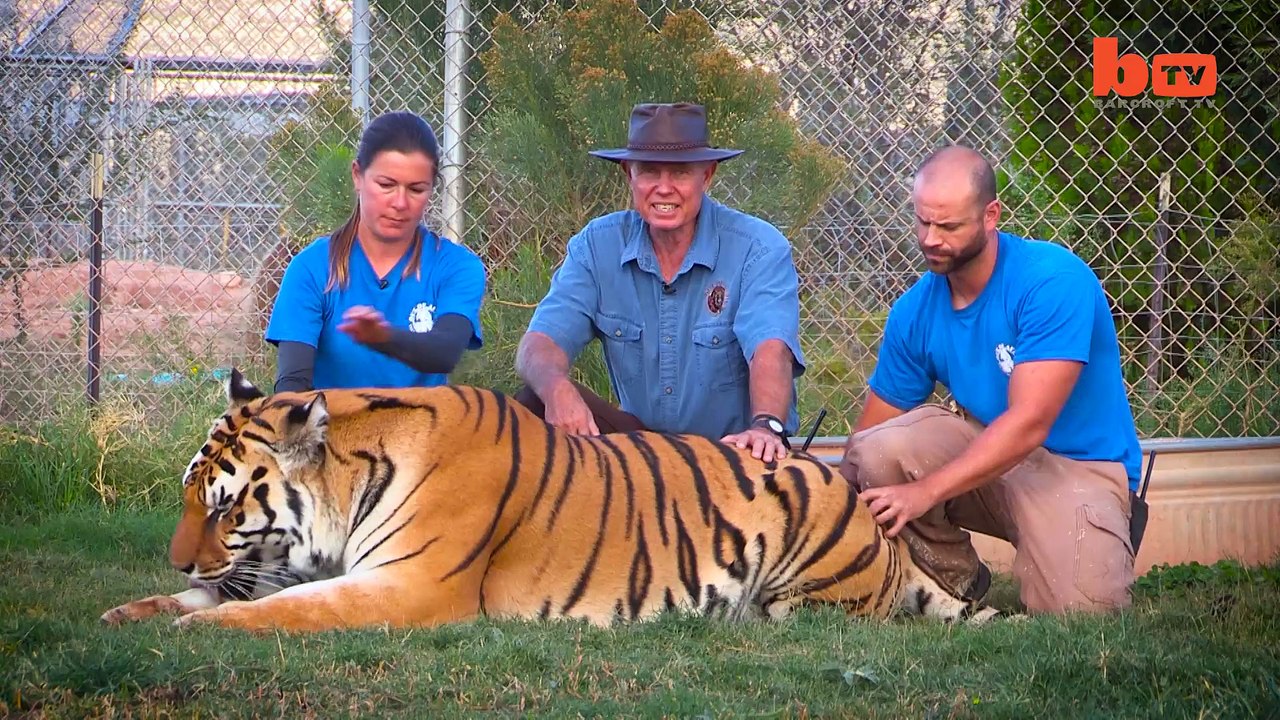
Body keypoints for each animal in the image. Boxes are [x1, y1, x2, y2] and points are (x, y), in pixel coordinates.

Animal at [101, 370, 1001, 632]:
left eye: (224, 509)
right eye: (190, 499)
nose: (176, 559)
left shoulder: (411, 588)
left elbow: (281, 610)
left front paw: (192, 626)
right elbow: (235, 593)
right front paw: (132, 610)